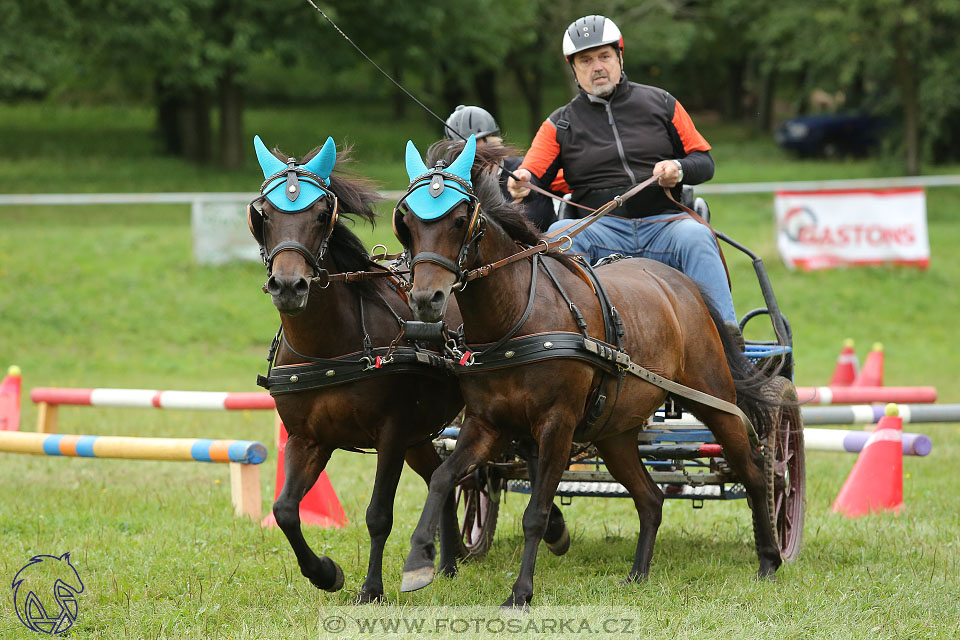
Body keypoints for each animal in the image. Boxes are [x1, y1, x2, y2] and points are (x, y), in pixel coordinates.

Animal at [244, 138, 464, 604]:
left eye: (320, 215)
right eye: (263, 215)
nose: (288, 286)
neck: (328, 348)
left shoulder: (392, 434)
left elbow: (378, 515)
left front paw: (371, 589)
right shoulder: (307, 439)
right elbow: (285, 510)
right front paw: (326, 573)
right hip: (421, 435)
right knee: (441, 476)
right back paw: (449, 562)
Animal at [394, 138, 784, 608]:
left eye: (458, 220)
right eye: (407, 221)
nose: (426, 299)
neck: (515, 319)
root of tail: (682, 285)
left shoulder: (557, 425)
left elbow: (536, 512)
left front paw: (521, 593)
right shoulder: (487, 423)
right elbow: (443, 478)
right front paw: (419, 562)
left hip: (714, 398)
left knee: (754, 470)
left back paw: (769, 559)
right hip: (615, 431)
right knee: (651, 498)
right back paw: (638, 573)